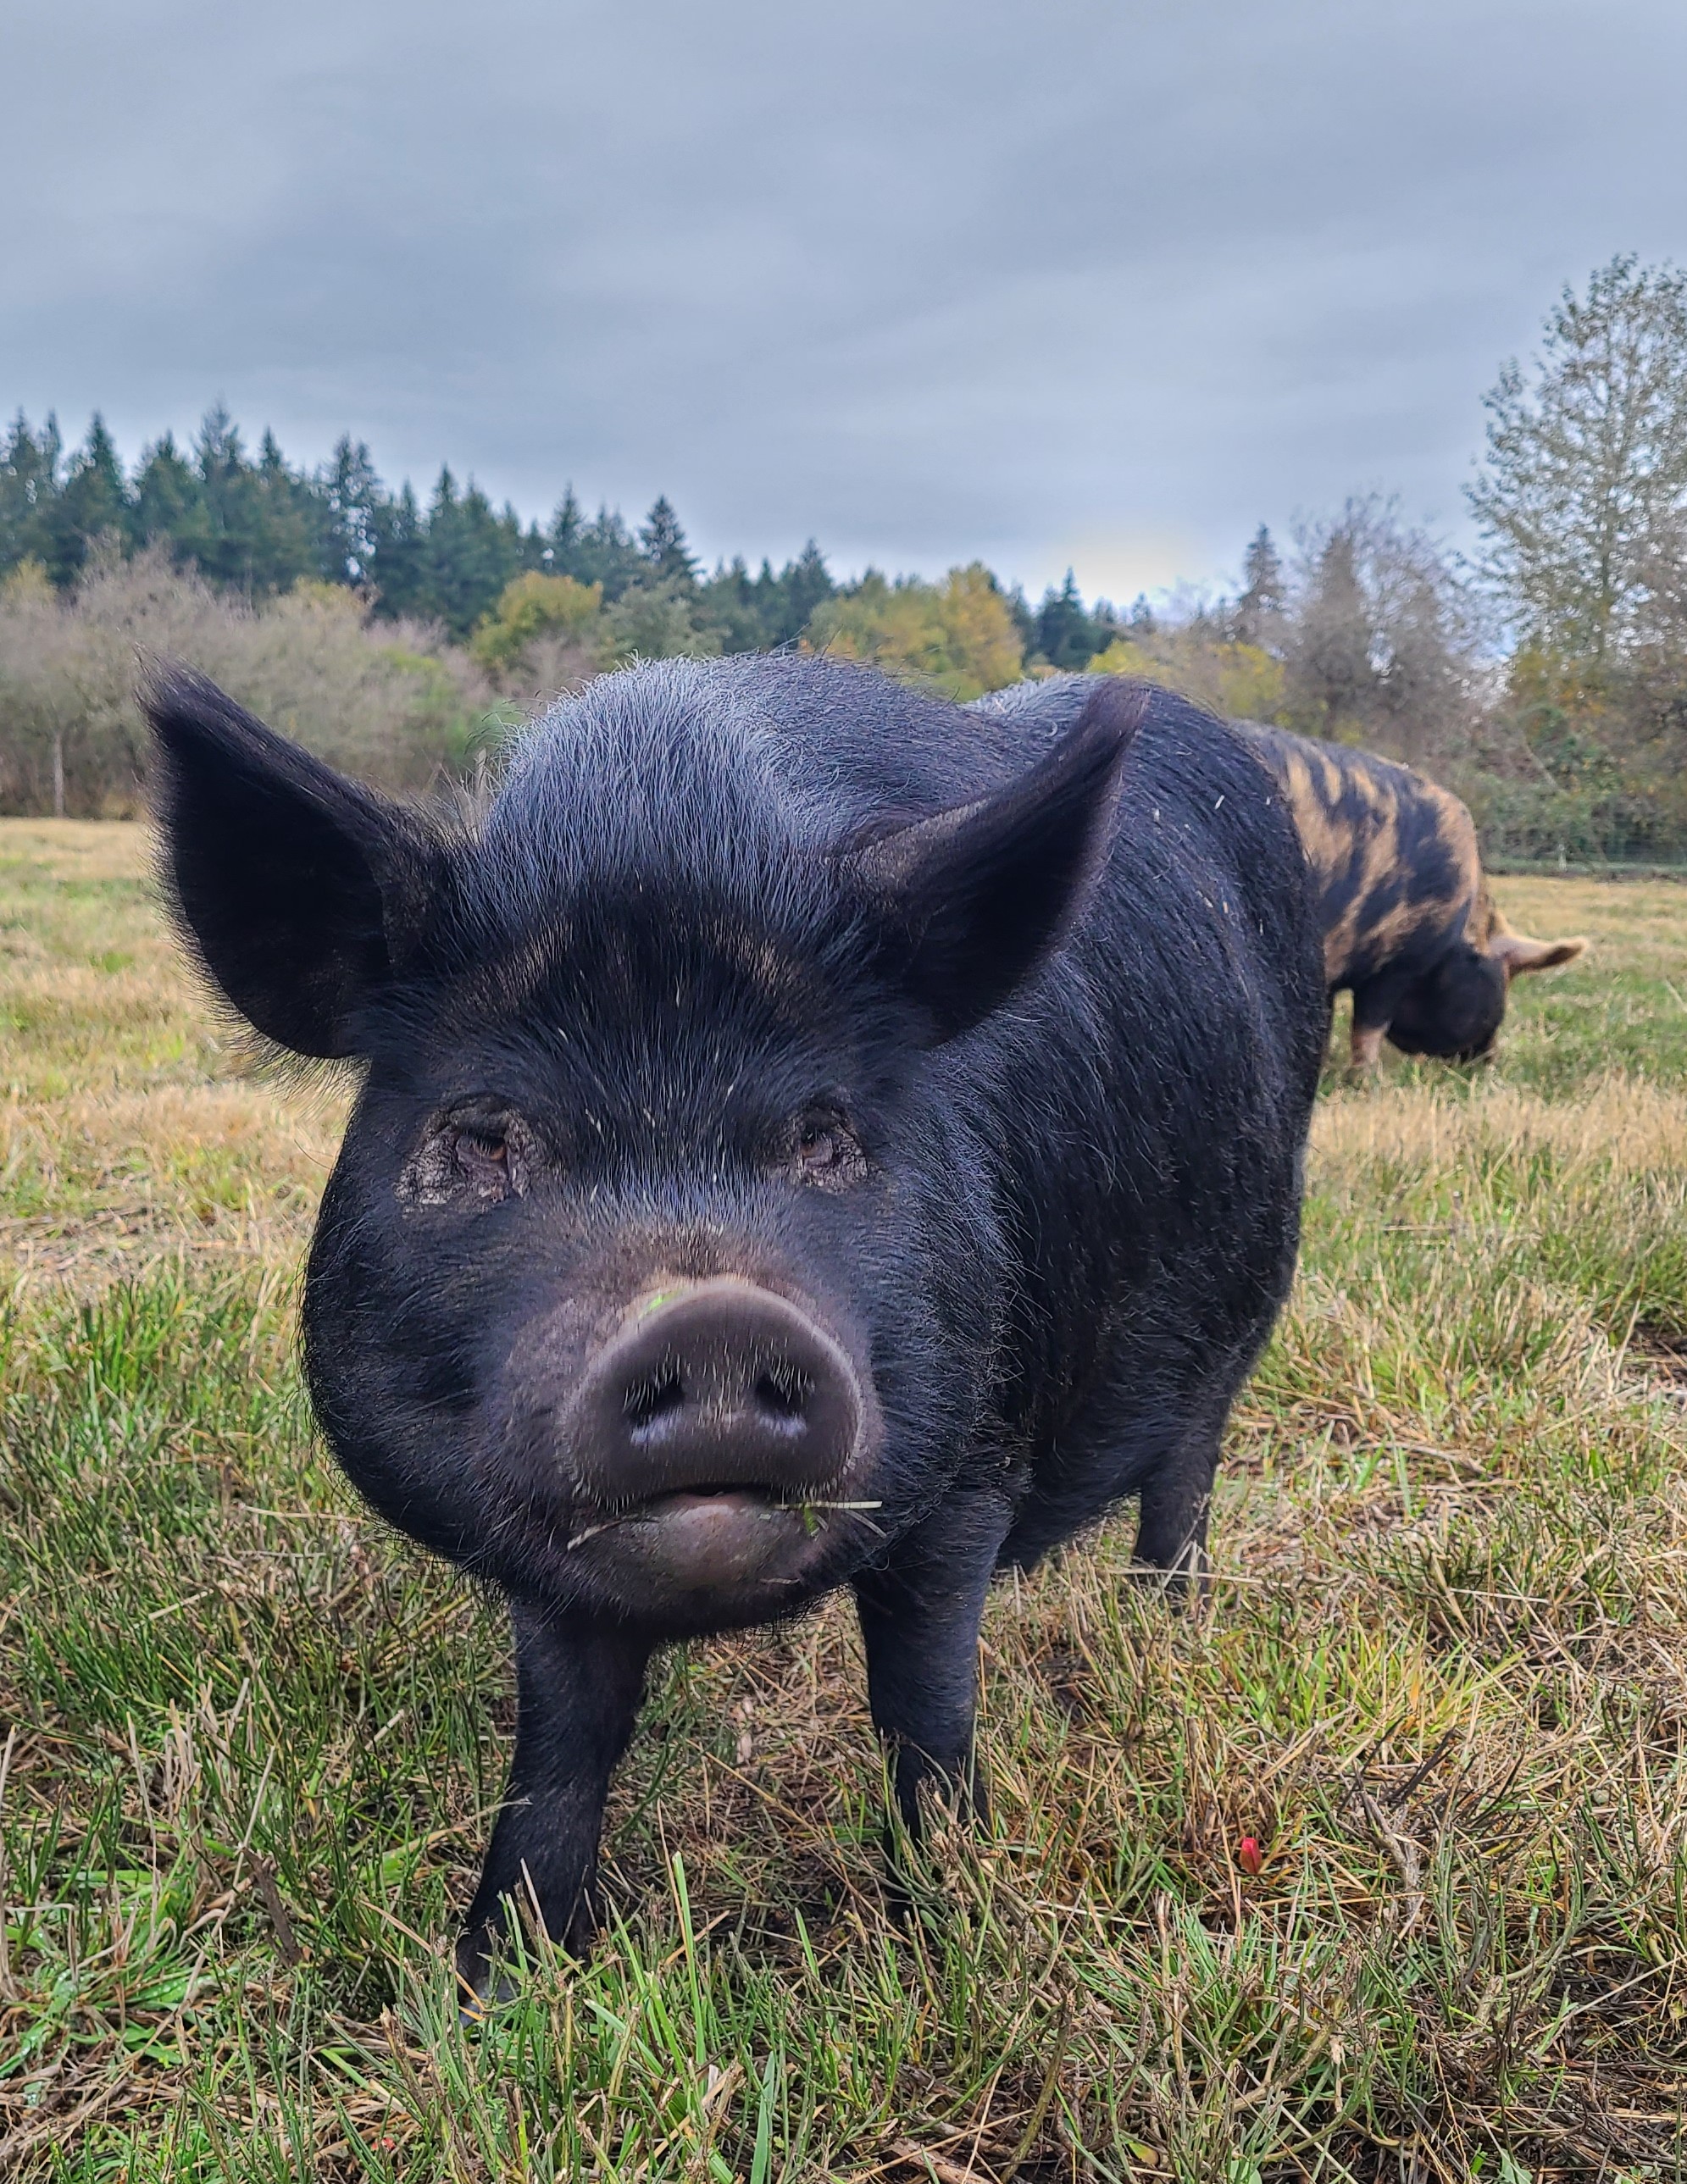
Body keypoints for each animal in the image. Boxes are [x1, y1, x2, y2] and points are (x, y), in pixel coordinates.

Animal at [144, 655, 1326, 1997]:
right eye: (483, 1135)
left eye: (825, 1131)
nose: (705, 1317)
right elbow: (562, 1741)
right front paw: (489, 1986)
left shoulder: (970, 1461)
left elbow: (923, 1703)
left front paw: (947, 1937)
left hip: (1251, 1292)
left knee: (1188, 1465)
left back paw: (1163, 1621)